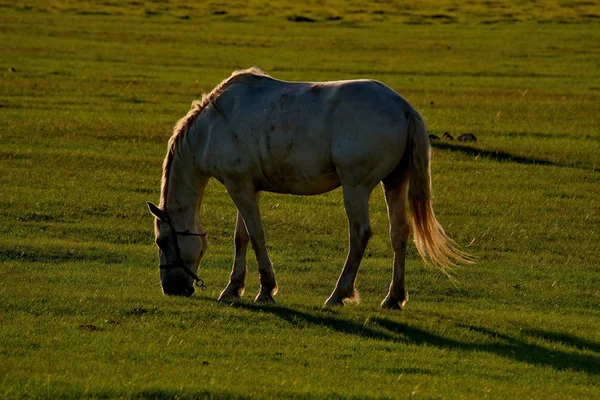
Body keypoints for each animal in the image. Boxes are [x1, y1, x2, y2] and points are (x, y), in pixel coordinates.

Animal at [148, 67, 472, 310]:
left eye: (161, 242)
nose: (170, 288)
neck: (213, 126)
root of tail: (403, 108)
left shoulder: (238, 187)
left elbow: (256, 235)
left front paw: (266, 289)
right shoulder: (245, 187)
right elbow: (243, 237)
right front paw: (233, 288)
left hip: (356, 187)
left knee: (360, 233)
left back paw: (339, 294)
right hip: (393, 183)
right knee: (399, 233)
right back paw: (393, 298)